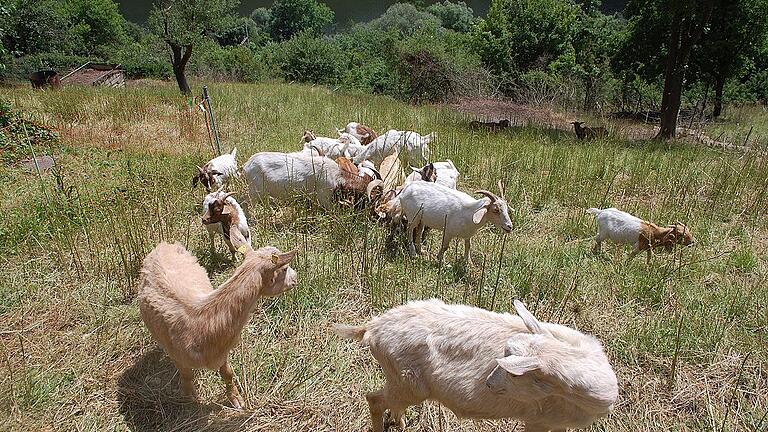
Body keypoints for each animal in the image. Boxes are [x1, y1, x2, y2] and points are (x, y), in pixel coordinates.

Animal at [137, 243, 296, 408]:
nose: (296, 278)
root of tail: (164, 244)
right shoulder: (177, 356)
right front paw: (189, 396)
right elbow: (187, 376)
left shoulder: (221, 351)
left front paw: (236, 399)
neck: (203, 317)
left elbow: (227, 373)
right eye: (285, 269)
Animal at [336, 298, 616, 432]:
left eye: (515, 375)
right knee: (373, 399)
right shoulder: (538, 420)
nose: (489, 384)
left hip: (398, 381)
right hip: (408, 384)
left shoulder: (557, 424)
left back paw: (400, 422)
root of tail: (372, 328)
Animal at [380, 180, 512, 262]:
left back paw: (421, 250)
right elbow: (445, 246)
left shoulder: (468, 235)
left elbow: (468, 246)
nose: (509, 226)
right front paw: (440, 260)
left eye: (506, 208)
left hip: (422, 218)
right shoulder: (448, 231)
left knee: (419, 231)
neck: (470, 213)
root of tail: (406, 189)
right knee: (409, 231)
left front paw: (468, 263)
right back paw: (413, 253)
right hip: (413, 217)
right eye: (495, 210)